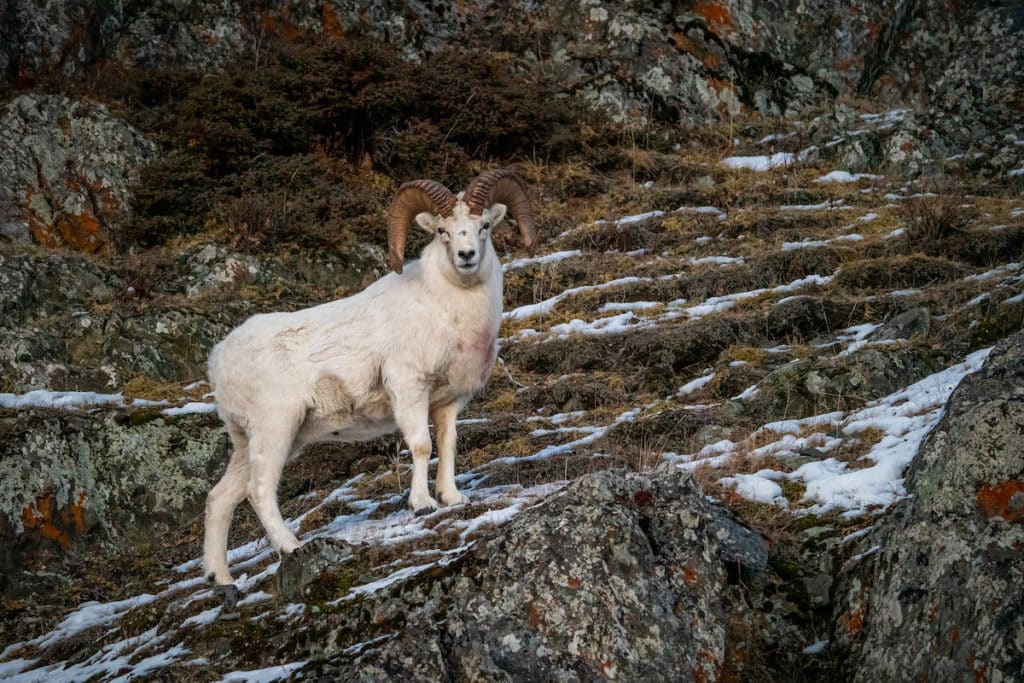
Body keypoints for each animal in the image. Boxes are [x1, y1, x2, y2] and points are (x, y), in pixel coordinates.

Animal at [199, 167, 536, 585]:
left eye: (484, 226)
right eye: (443, 230)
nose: (467, 256)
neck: (447, 309)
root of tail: (219, 359)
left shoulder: (447, 403)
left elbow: (448, 444)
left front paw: (452, 498)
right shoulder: (409, 389)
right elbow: (421, 446)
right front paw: (423, 505)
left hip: (250, 440)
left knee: (220, 498)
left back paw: (222, 581)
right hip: (275, 428)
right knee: (259, 491)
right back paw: (293, 547)